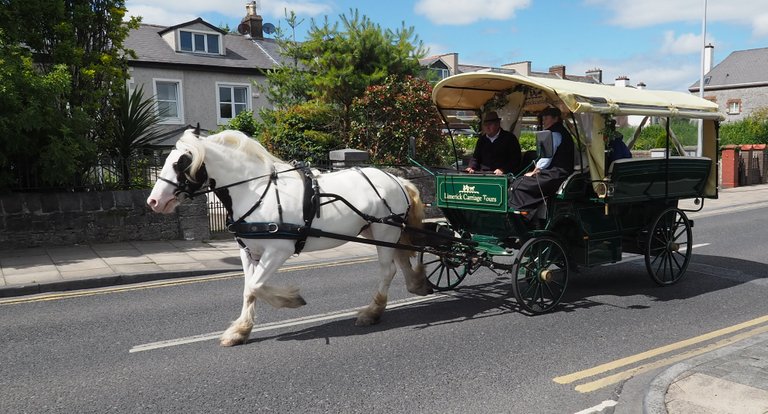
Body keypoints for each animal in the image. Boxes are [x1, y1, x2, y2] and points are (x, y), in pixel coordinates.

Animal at [146, 129, 432, 346]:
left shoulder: (278, 251)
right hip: (379, 230)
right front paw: (240, 330)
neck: (254, 190)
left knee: (388, 270)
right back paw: (416, 285)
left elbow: (256, 286)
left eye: (180, 163)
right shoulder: (248, 251)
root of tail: (396, 178)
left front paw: (291, 300)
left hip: (386, 230)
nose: (154, 201)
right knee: (402, 260)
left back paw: (372, 312)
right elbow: (248, 289)